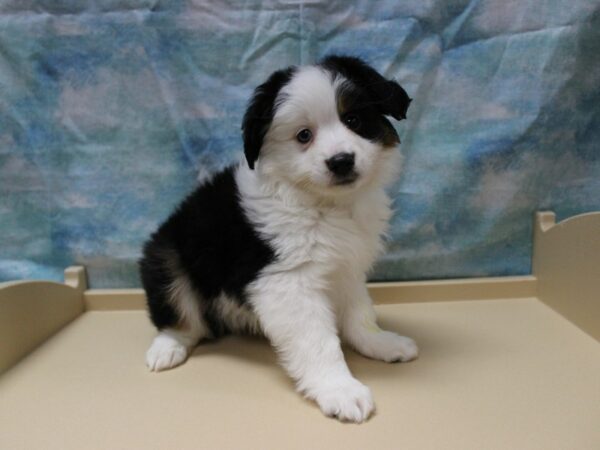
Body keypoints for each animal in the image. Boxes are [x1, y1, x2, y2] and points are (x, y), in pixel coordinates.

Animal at [139, 55, 418, 422]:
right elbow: (318, 342)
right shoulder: (287, 281)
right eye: (303, 135)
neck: (323, 204)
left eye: (353, 119)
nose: (341, 161)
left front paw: (381, 343)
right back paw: (166, 348)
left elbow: (360, 313)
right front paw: (340, 390)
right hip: (167, 257)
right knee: (181, 319)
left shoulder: (345, 266)